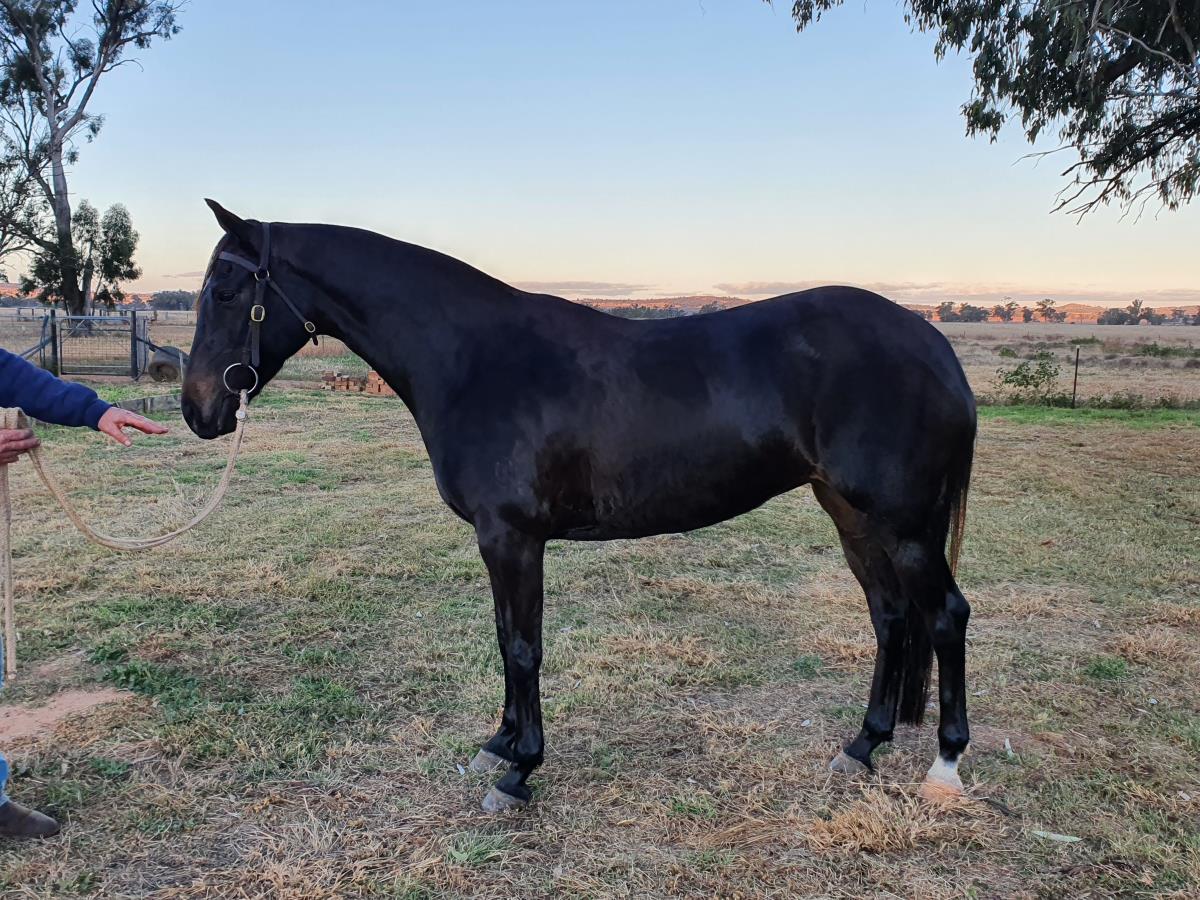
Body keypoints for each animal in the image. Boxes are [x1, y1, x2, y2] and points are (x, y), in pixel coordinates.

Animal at [182, 201, 977, 812]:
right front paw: (499, 744)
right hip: (852, 515)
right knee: (891, 617)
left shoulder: (513, 537)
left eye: (224, 291)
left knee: (944, 616)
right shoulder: (502, 541)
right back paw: (863, 746)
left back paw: (944, 766)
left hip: (905, 526)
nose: (199, 411)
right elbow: (506, 636)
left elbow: (523, 645)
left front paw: (519, 772)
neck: (474, 359)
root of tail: (933, 345)